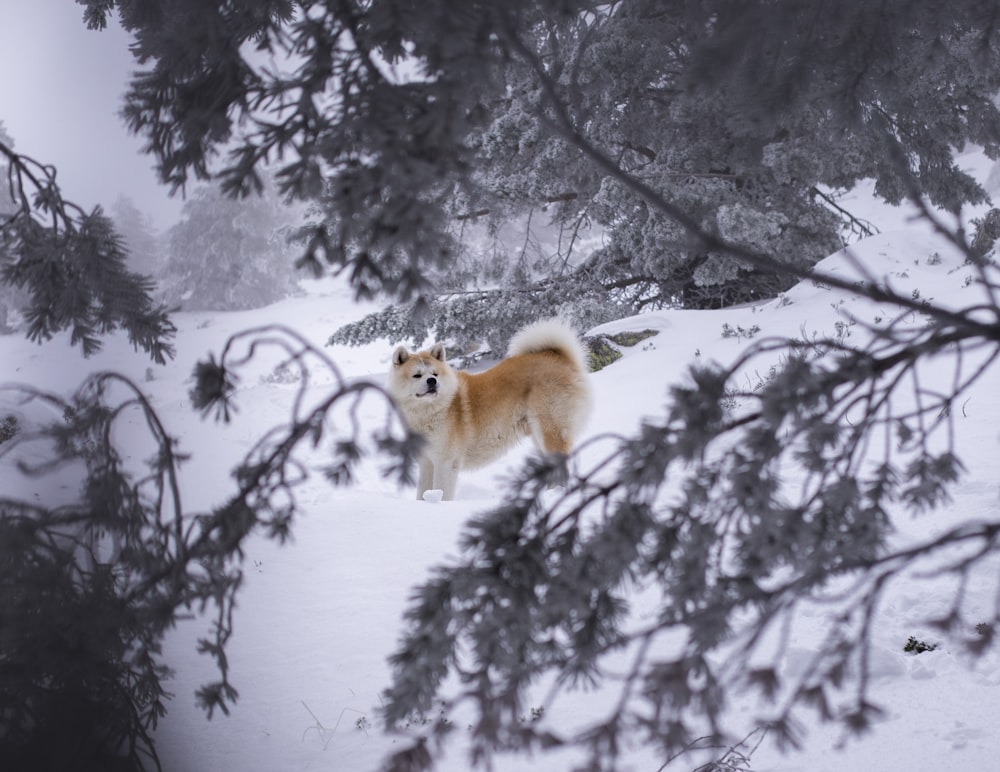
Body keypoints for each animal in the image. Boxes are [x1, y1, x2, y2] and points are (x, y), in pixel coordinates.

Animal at [388, 320, 592, 500]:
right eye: (417, 375)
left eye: (434, 374)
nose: (432, 381)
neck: (431, 411)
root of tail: (560, 357)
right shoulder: (426, 462)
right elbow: (422, 493)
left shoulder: (445, 463)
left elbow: (442, 492)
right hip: (539, 436)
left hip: (550, 431)